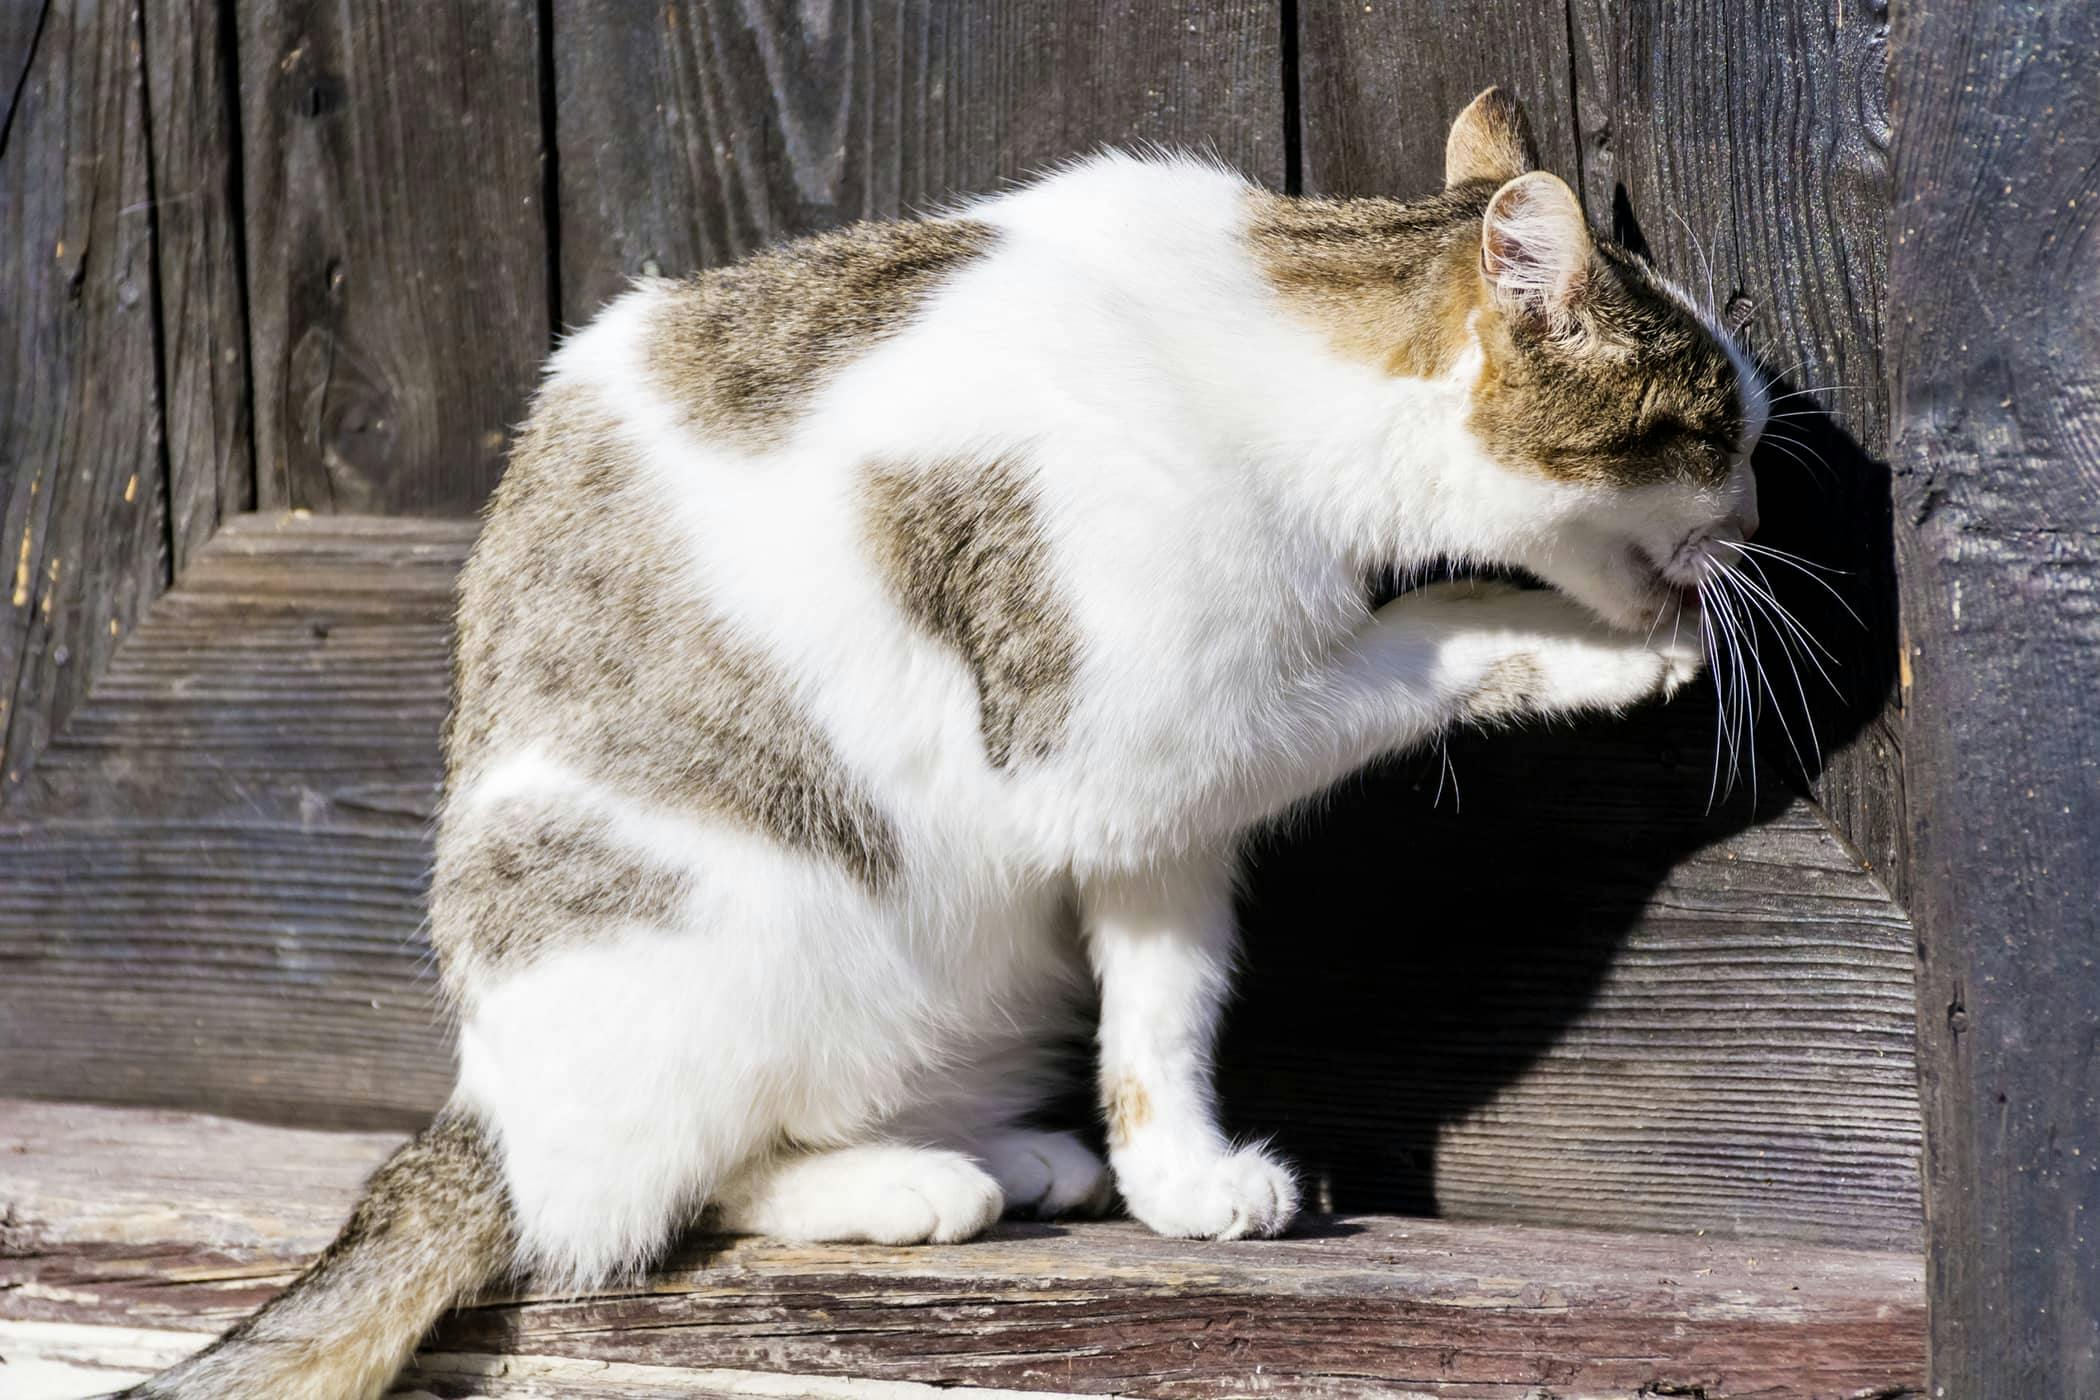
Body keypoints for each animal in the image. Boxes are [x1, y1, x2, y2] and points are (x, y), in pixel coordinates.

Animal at [131, 90, 1763, 1400]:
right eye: (1712, 431)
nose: (1756, 515)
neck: (1262, 347)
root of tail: (481, 1104)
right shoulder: (1137, 732)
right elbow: (1424, 633)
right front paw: (1595, 647)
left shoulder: (1152, 819)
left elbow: (1164, 1008)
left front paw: (1177, 1177)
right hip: (730, 916)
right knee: (653, 1196)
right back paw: (911, 1184)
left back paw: (1022, 1151)